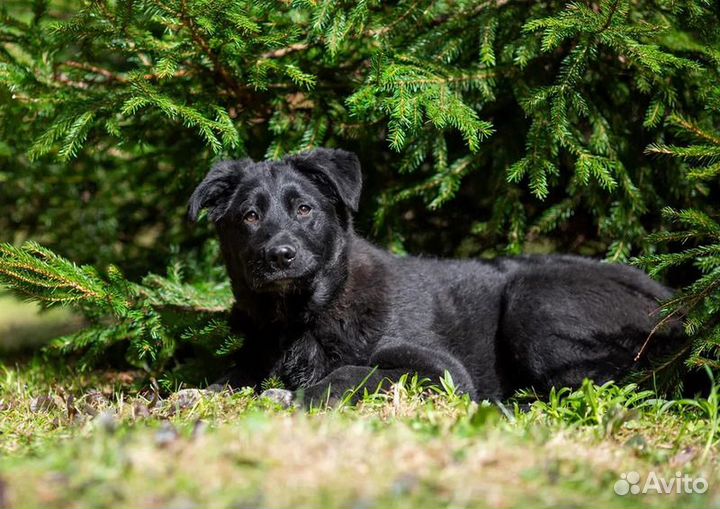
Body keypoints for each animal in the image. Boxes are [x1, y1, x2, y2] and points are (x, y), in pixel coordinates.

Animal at [188, 148, 684, 404]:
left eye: (304, 209)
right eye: (250, 216)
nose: (280, 255)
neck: (300, 317)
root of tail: (674, 302)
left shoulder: (440, 371)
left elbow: (355, 372)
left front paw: (303, 396)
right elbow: (230, 377)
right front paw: (198, 394)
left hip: (536, 301)